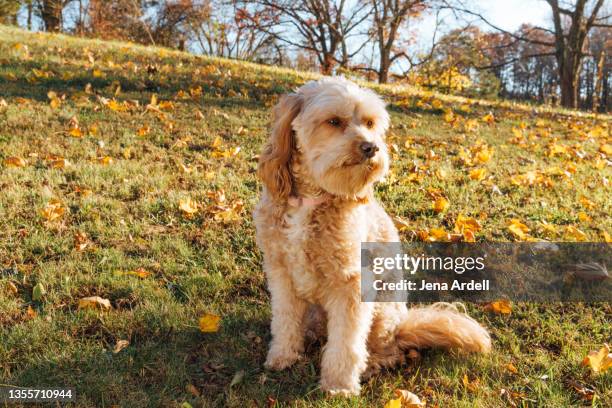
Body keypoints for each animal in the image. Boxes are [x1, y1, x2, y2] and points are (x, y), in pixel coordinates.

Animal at [255, 76, 492, 396]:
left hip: (383, 311)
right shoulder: (281, 273)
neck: (312, 199)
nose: (371, 147)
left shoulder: (352, 284)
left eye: (369, 123)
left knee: (386, 350)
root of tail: (404, 323)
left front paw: (339, 385)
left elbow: (346, 343)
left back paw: (370, 365)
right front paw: (282, 356)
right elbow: (284, 320)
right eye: (334, 121)